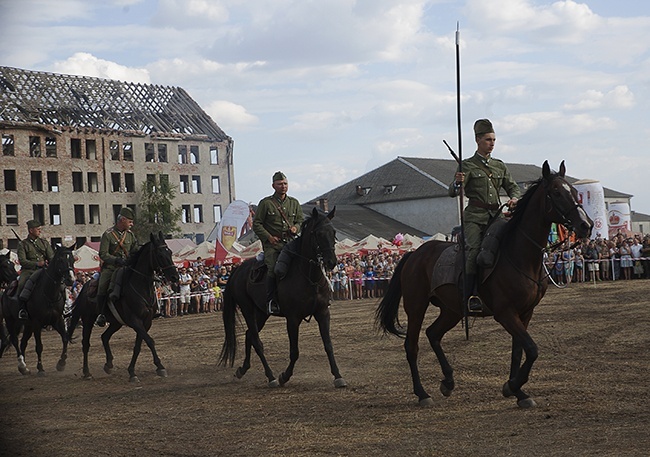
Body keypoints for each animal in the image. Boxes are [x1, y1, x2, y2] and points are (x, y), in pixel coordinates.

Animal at [0, 244, 76, 376]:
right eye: (60, 260)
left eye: (72, 259)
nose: (70, 279)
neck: (49, 294)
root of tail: (6, 291)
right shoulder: (37, 323)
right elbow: (39, 346)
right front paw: (40, 368)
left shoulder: (57, 320)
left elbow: (65, 338)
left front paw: (61, 363)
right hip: (11, 321)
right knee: (15, 340)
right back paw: (22, 365)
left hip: (26, 325)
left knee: (23, 342)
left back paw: (24, 368)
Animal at [67, 232, 177, 382]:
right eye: (160, 254)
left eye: (170, 252)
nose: (175, 277)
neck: (139, 285)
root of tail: (85, 286)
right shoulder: (135, 321)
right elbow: (150, 341)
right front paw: (159, 366)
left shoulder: (146, 322)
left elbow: (138, 346)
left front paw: (132, 371)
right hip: (88, 319)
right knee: (86, 344)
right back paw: (87, 372)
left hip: (115, 323)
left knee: (104, 337)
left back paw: (108, 364)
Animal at [219, 207, 346, 388]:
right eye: (319, 233)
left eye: (333, 232)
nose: (332, 262)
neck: (309, 276)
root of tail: (237, 270)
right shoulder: (292, 319)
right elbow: (294, 352)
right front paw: (284, 376)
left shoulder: (322, 313)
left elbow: (328, 345)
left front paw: (337, 376)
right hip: (247, 309)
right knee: (256, 341)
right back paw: (271, 376)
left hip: (261, 313)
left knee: (249, 335)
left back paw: (242, 369)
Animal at [374, 160, 592, 406]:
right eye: (556, 193)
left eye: (573, 191)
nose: (586, 226)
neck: (519, 254)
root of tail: (414, 254)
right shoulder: (505, 313)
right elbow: (532, 349)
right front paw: (512, 386)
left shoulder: (525, 313)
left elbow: (519, 350)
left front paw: (518, 392)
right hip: (416, 307)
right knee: (411, 346)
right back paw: (422, 394)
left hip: (452, 310)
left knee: (433, 334)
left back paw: (448, 381)